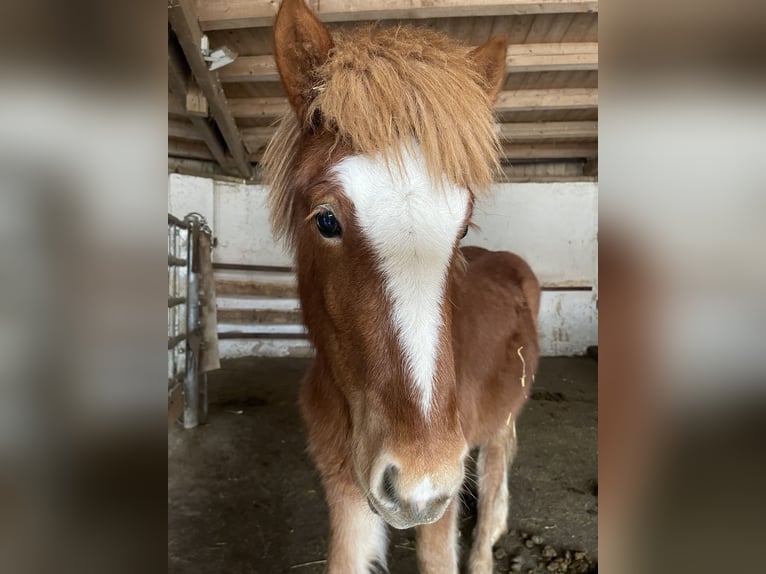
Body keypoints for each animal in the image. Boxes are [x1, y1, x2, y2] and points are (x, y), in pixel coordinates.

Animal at [264, 2, 540, 572]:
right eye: (326, 220)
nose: (419, 480)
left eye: (462, 227)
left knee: (494, 480)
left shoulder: (440, 508)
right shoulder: (345, 496)